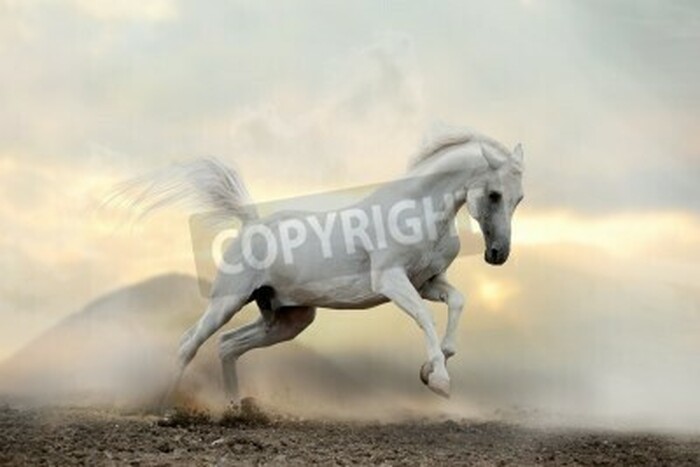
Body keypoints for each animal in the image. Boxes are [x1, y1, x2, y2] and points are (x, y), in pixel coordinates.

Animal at [113, 124, 524, 402]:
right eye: (494, 194)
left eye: (519, 198)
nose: (497, 255)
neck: (417, 211)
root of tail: (251, 224)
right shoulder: (391, 281)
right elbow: (426, 318)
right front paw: (439, 381)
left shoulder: (428, 282)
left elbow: (458, 302)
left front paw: (430, 370)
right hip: (227, 302)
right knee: (189, 343)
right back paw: (167, 408)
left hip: (288, 319)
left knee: (228, 345)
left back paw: (236, 409)